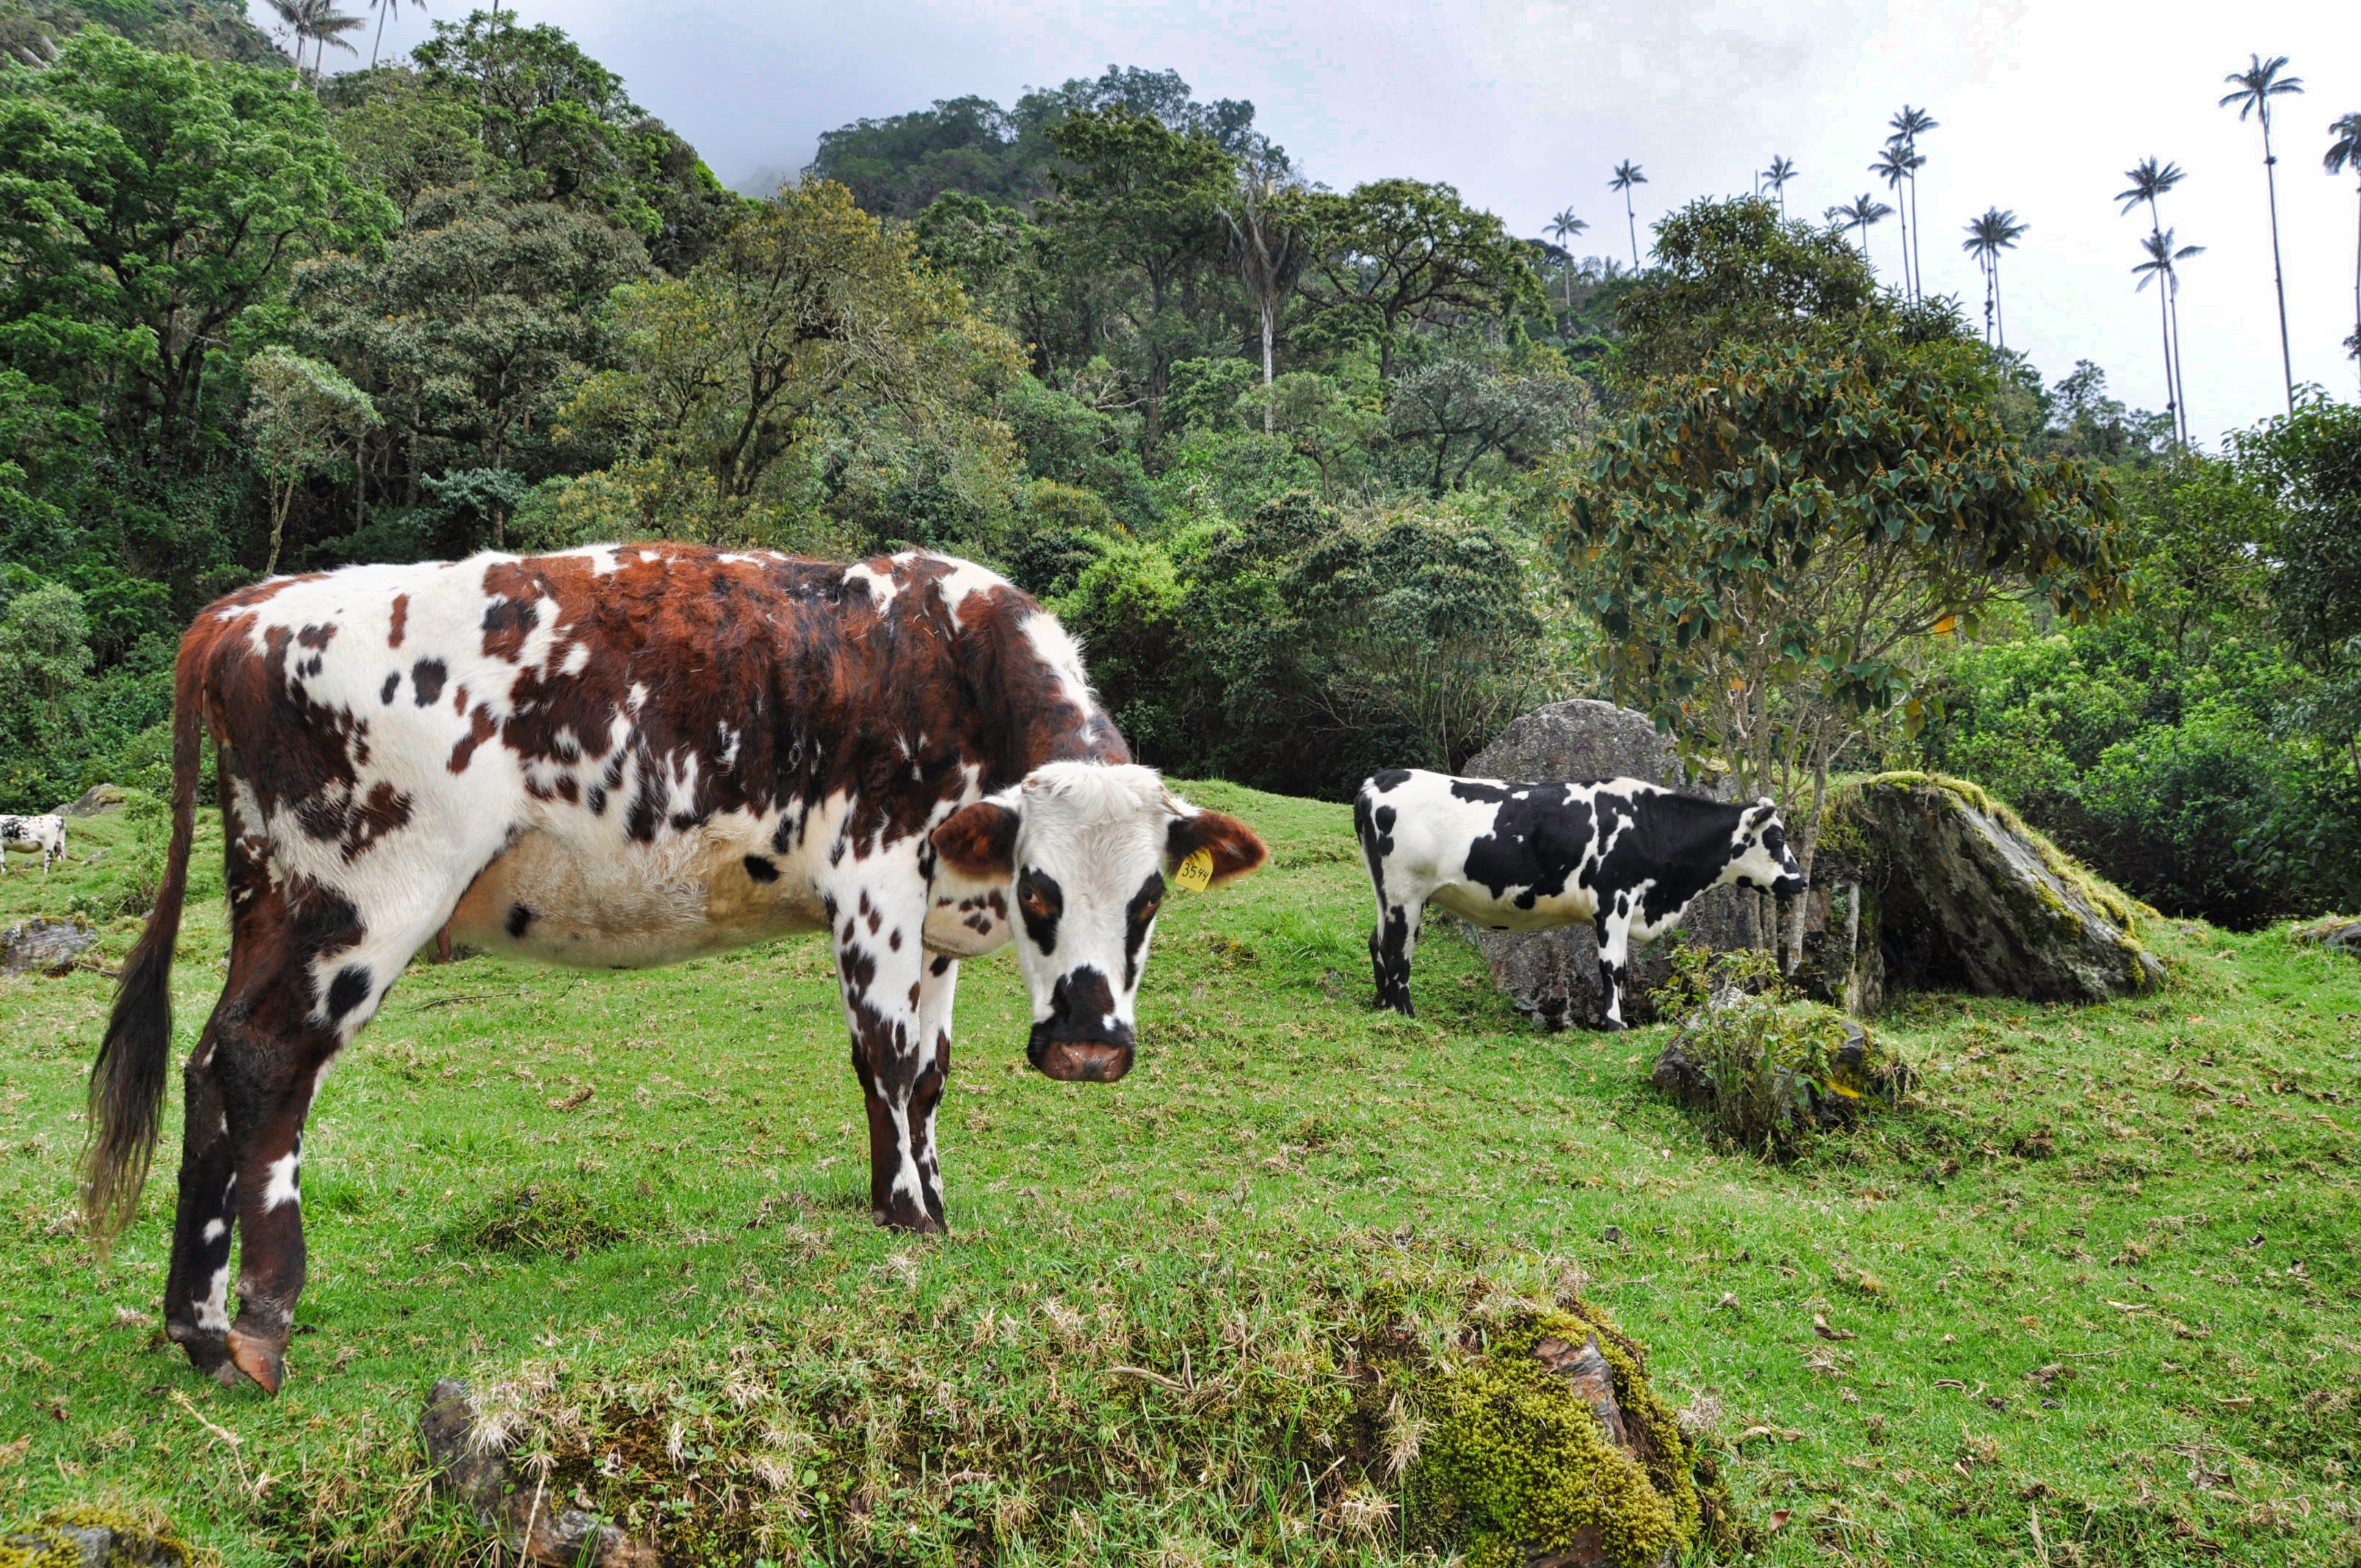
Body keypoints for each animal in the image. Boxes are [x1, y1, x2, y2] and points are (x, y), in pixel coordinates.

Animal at [83, 545, 1274, 1388]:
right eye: (1038, 892)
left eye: (1150, 898)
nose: (1086, 1049)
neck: (954, 658)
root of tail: (253, 608)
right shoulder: (876, 878)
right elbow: (888, 1060)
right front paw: (911, 1223)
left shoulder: (935, 916)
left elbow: (927, 1077)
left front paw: (925, 1202)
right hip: (360, 900)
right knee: (266, 1065)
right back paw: (260, 1322)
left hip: (271, 896)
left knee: (210, 1062)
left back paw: (195, 1324)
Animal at [1360, 769, 1794, 1029]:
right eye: (1776, 837)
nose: (1800, 880)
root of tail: (1380, 780)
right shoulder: (1616, 899)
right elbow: (1614, 969)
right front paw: (1615, 1025)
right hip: (1405, 894)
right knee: (1397, 950)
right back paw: (1405, 1015)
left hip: (1388, 895)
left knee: (1376, 943)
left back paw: (1384, 1007)